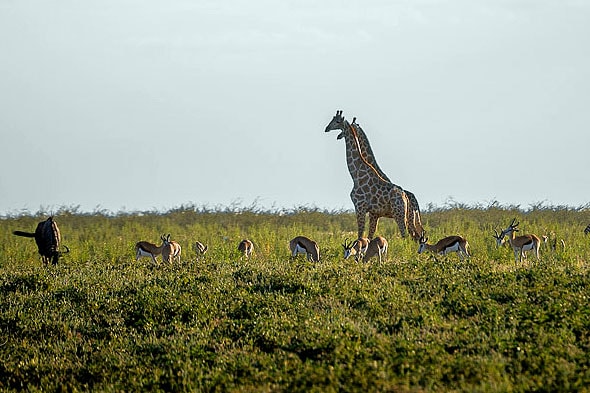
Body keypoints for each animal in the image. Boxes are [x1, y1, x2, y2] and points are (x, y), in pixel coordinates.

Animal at [326, 109, 410, 239]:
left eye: (337, 121)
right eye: (332, 119)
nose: (327, 128)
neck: (355, 175)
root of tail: (405, 196)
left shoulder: (360, 207)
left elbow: (360, 235)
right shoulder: (372, 212)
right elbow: (367, 235)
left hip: (398, 213)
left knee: (405, 235)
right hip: (402, 214)